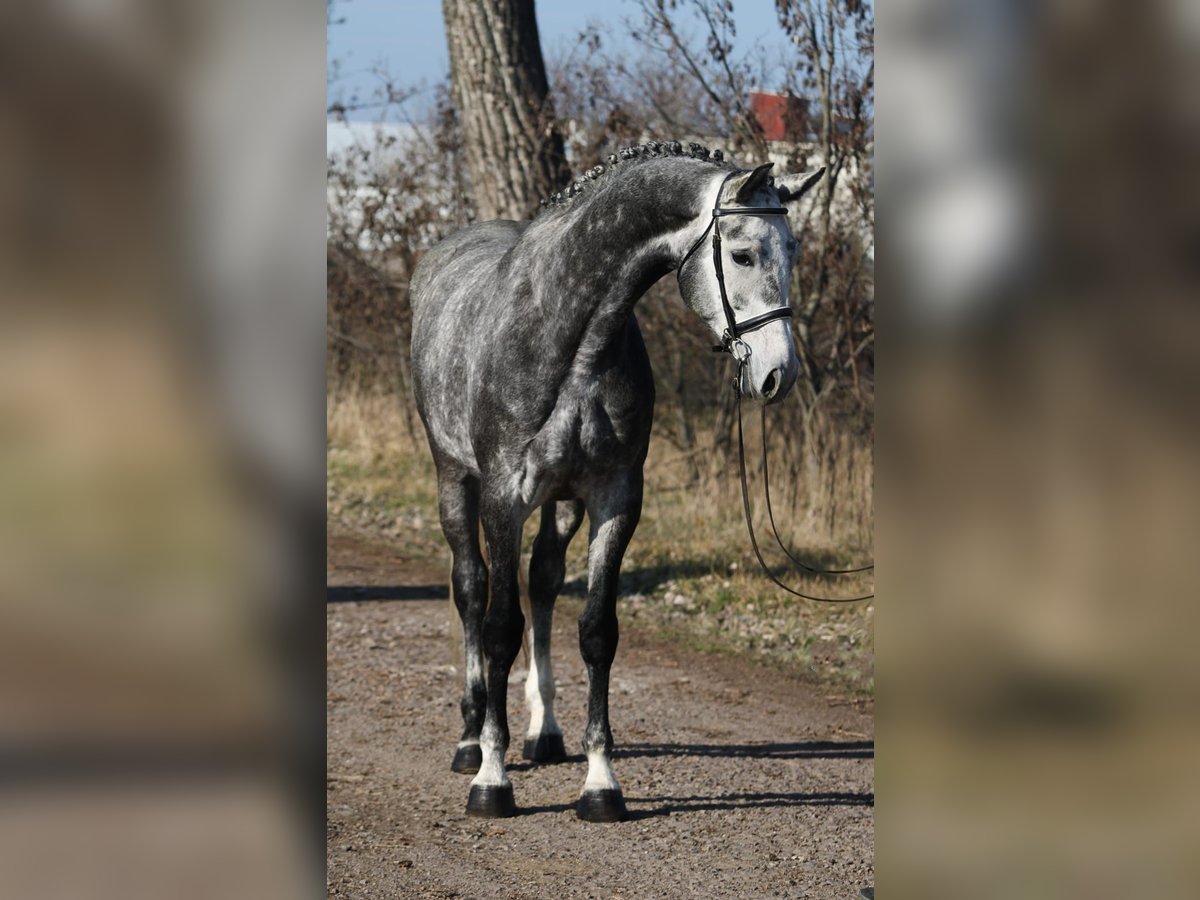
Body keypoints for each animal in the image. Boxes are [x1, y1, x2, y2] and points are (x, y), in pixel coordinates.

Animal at [412, 142, 825, 825]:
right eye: (742, 254)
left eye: (792, 252)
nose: (778, 374)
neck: (569, 337)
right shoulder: (502, 499)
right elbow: (499, 628)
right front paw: (494, 781)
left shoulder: (614, 501)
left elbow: (596, 632)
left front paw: (601, 785)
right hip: (454, 481)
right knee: (471, 590)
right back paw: (472, 740)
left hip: (562, 504)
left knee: (543, 584)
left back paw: (544, 732)